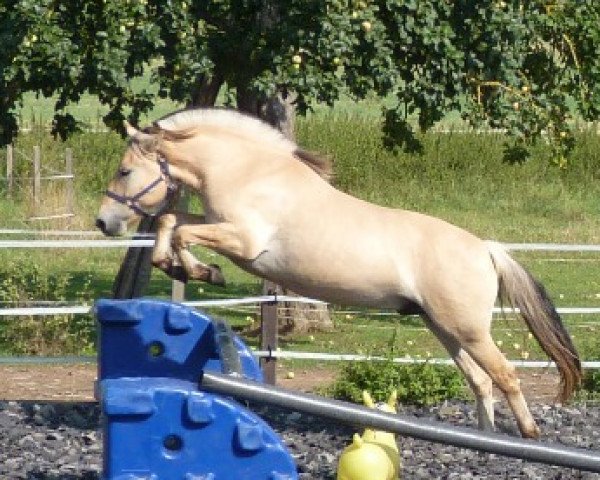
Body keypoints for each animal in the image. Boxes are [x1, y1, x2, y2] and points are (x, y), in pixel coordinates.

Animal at [97, 108, 580, 438]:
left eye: (124, 170)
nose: (104, 223)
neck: (247, 171)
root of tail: (484, 249)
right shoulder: (220, 227)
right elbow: (170, 220)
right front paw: (180, 266)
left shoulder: (243, 241)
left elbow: (178, 229)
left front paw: (203, 270)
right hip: (443, 327)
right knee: (480, 380)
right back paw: (485, 435)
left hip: (467, 329)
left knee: (505, 375)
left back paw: (528, 435)